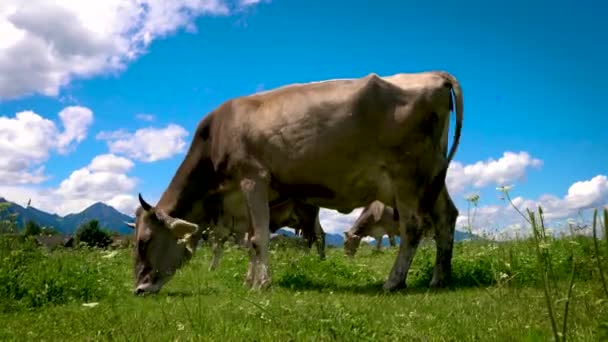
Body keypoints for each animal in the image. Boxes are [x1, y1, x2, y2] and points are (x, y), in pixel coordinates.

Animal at [129, 70, 460, 294]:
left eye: (144, 242)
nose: (139, 289)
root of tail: (435, 74)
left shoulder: (253, 178)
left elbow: (258, 238)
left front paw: (261, 284)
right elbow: (252, 239)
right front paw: (251, 279)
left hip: (407, 175)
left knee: (413, 226)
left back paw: (394, 281)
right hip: (433, 175)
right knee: (446, 217)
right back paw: (439, 278)